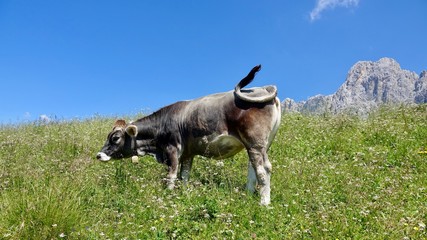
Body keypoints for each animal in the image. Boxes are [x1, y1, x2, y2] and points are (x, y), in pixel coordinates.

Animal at [96, 65, 280, 204]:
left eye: (115, 138)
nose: (99, 155)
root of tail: (264, 87)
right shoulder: (187, 153)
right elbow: (184, 175)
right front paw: (184, 193)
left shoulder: (172, 149)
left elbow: (171, 175)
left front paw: (168, 195)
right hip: (260, 145)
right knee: (253, 168)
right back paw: (248, 194)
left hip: (255, 142)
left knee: (263, 168)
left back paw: (264, 203)